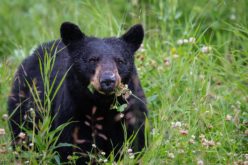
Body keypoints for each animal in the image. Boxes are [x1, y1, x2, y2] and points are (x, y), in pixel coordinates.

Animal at [7, 21, 147, 164]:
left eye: (120, 60)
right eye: (92, 59)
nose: (108, 80)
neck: (102, 105)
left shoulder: (131, 113)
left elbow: (134, 143)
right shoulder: (72, 114)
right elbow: (73, 148)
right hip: (23, 106)